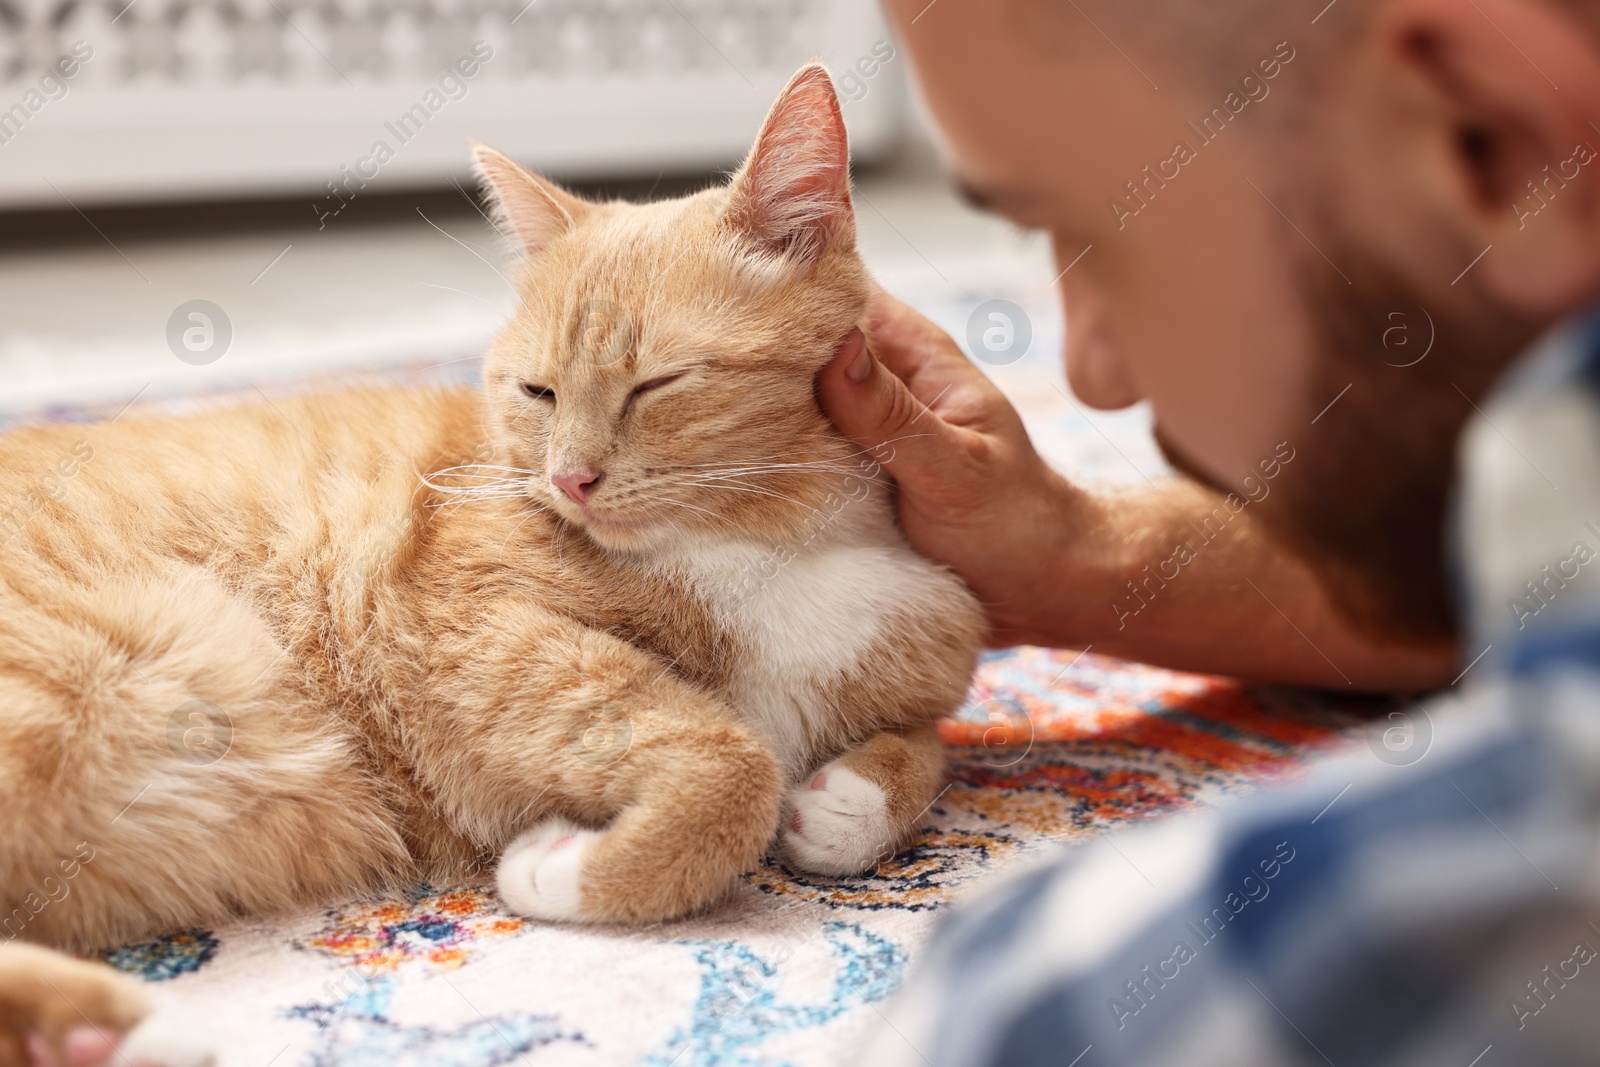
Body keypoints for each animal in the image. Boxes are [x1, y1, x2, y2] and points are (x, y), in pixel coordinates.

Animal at [0, 66, 972, 1067]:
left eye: (656, 384)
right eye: (538, 391)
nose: (570, 478)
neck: (774, 541)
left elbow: (928, 749)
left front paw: (846, 803)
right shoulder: (470, 629)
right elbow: (729, 768)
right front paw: (569, 869)